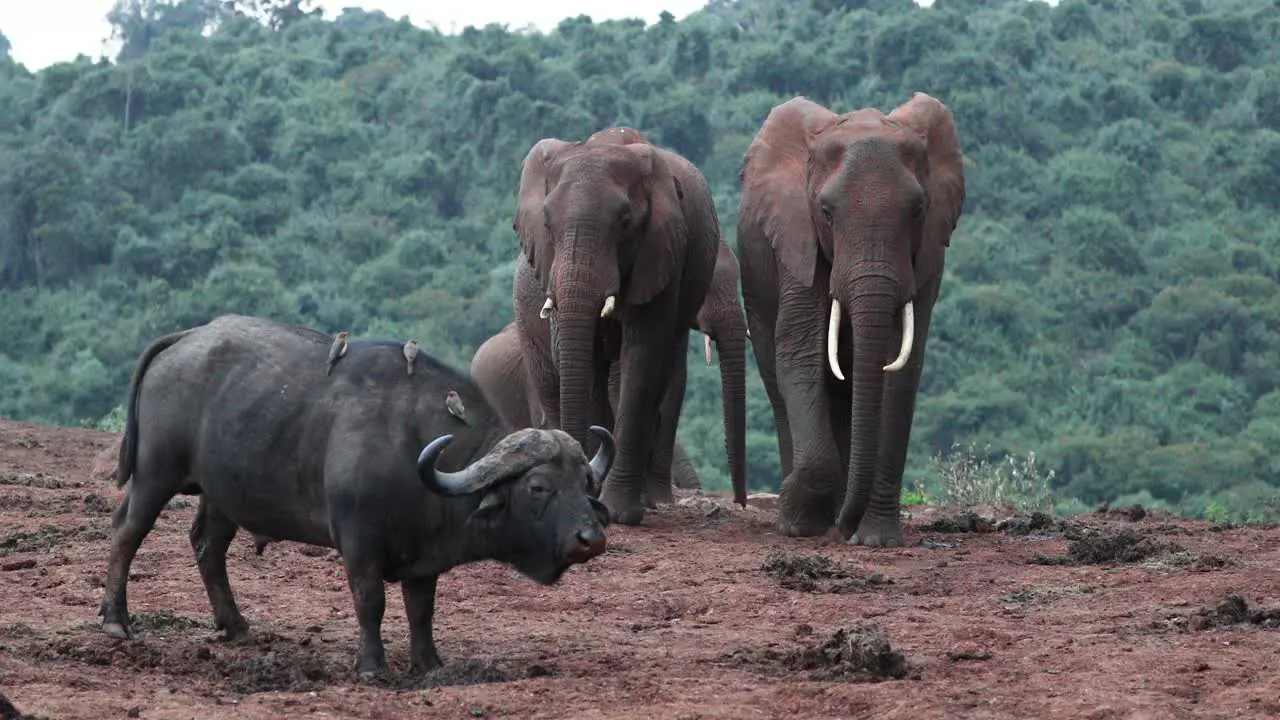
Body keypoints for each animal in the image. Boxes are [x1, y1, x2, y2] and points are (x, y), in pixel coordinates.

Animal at [99, 311, 614, 676]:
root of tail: (187, 336)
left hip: (223, 493)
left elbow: (421, 610)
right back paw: (116, 620)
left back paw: (235, 626)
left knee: (208, 545)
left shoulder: (424, 557)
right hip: (155, 474)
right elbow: (371, 602)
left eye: (585, 485)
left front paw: (428, 664)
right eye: (538, 487)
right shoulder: (359, 541)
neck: (412, 442)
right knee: (126, 532)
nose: (592, 539)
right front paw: (372, 666)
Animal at [512, 127, 732, 520]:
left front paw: (620, 513)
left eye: (626, 223)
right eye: (547, 223)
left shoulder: (662, 253)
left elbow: (641, 356)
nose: (584, 484)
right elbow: (585, 359)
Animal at [737, 90, 962, 543]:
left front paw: (876, 539)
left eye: (918, 210)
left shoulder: (927, 257)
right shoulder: (797, 240)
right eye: (825, 211)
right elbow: (800, 350)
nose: (844, 528)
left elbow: (901, 366)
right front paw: (798, 522)